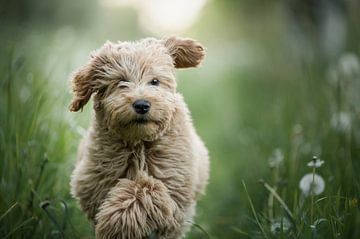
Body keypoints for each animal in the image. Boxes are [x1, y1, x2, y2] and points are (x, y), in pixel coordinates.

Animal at [69, 36, 210, 238]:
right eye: (121, 81)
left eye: (155, 81)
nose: (142, 105)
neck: (139, 143)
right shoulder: (91, 182)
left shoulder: (174, 187)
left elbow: (147, 189)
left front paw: (117, 221)